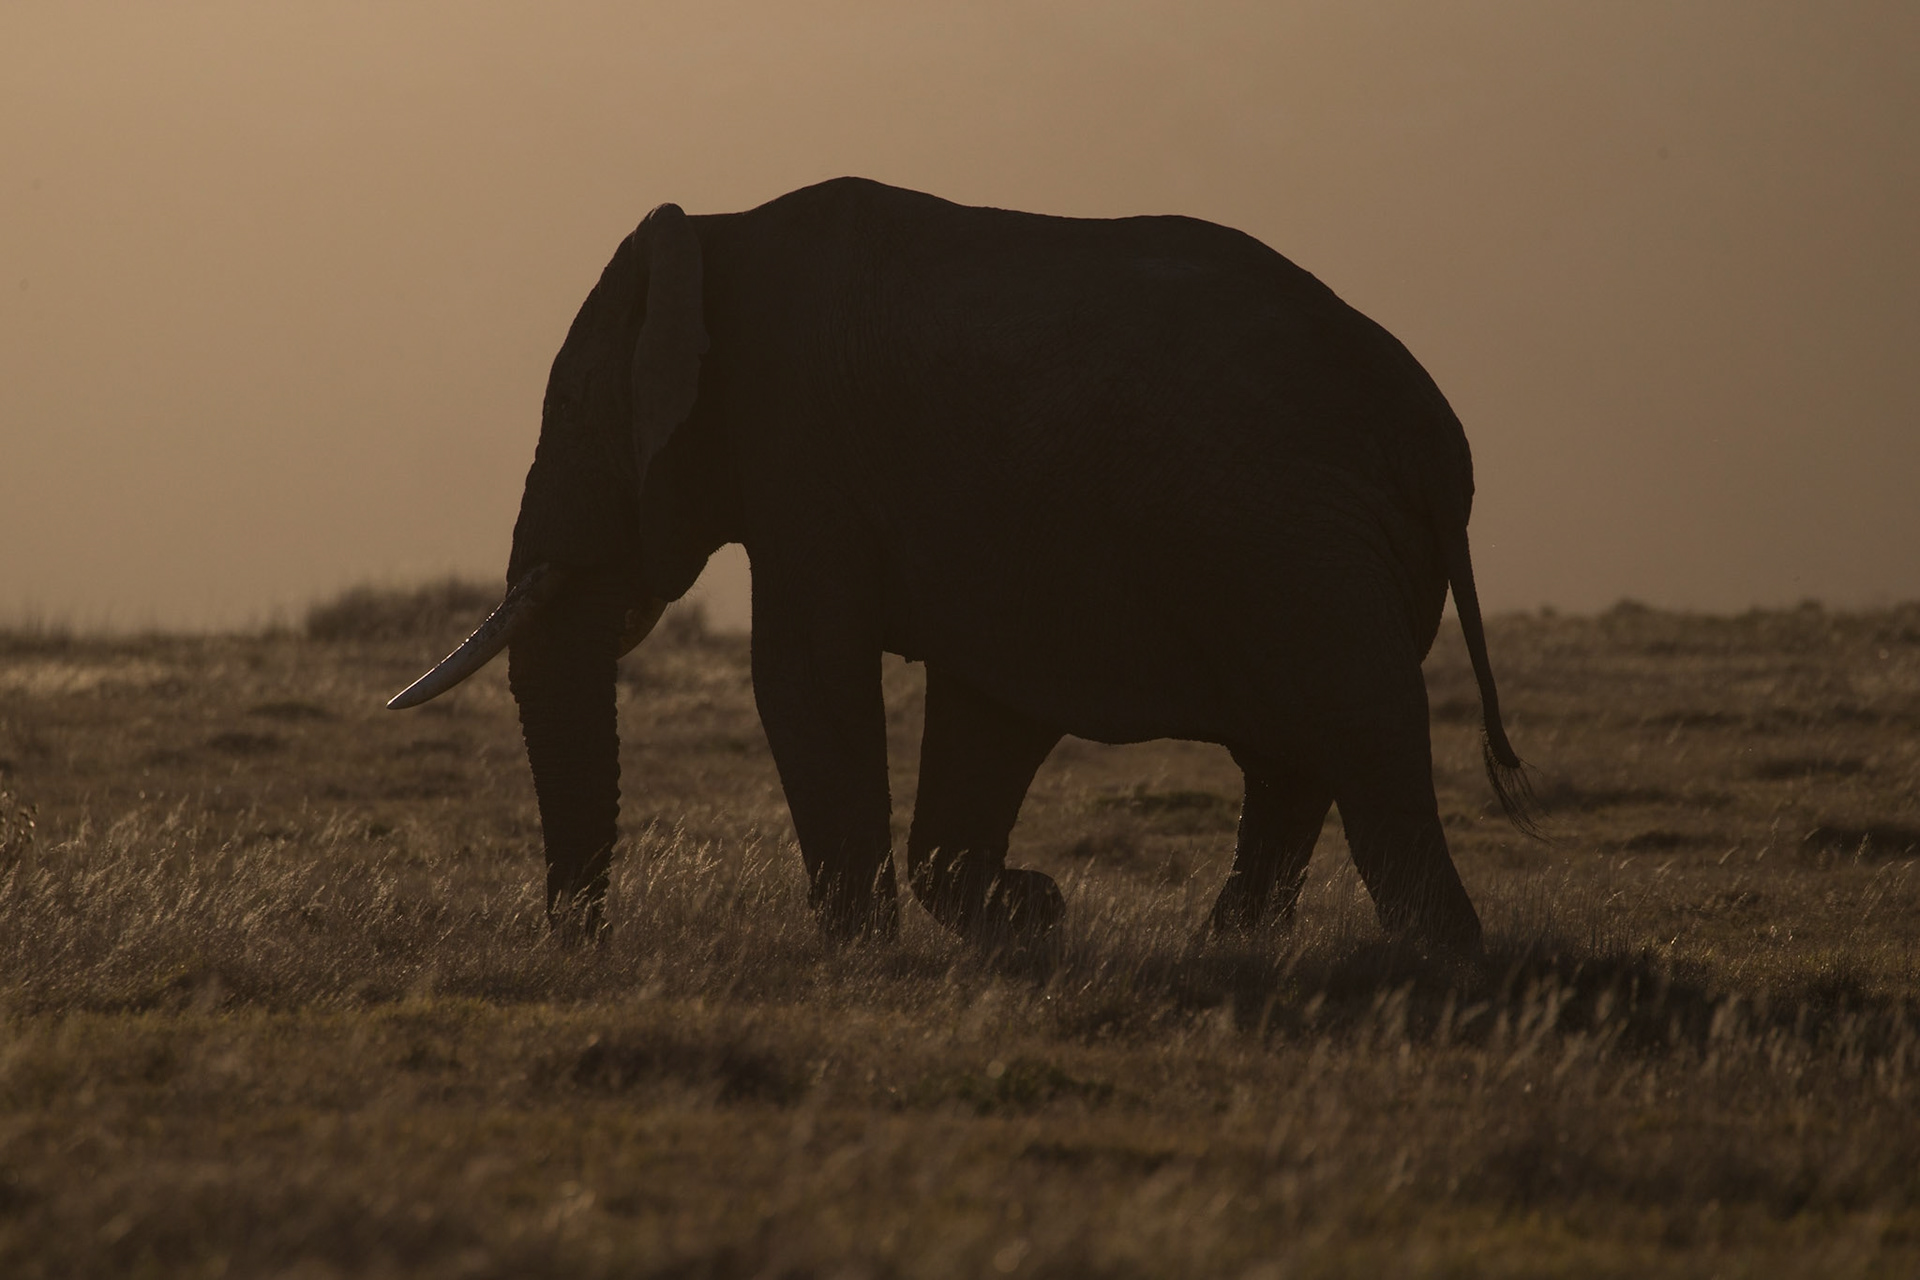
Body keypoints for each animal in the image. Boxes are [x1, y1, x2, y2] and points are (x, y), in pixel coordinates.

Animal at [389, 177, 1533, 955]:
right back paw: (1235, 955)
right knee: (1292, 762)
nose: (581, 943)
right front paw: (1030, 916)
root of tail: (1440, 443)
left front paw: (867, 950)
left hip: (1303, 544)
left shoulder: (806, 448)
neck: (718, 230)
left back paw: (1443, 967)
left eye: (575, 408)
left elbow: (804, 678)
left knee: (1362, 743)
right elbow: (984, 707)